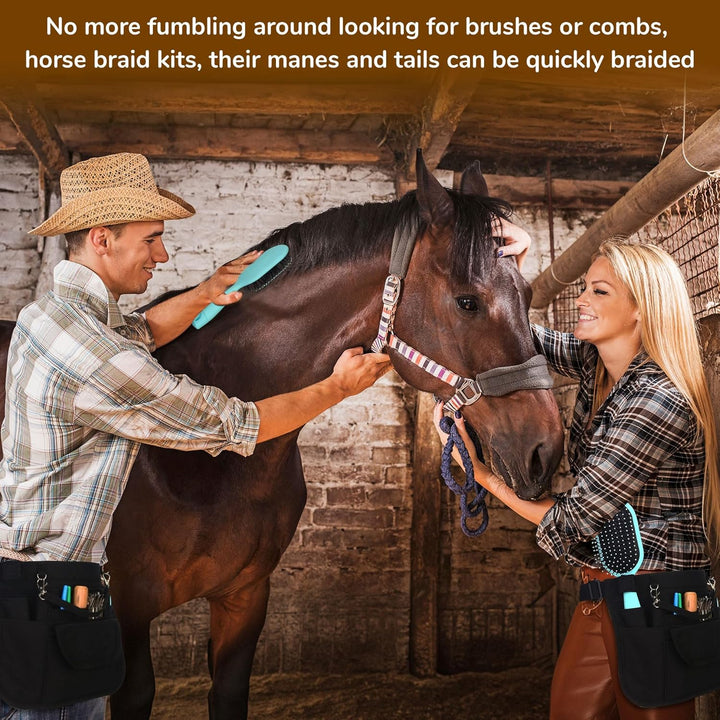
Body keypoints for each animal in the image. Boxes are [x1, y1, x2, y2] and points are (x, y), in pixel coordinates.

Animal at [0, 152, 565, 719]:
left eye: (527, 295)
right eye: (468, 302)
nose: (545, 449)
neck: (214, 467)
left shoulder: (245, 597)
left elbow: (229, 691)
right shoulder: (128, 614)